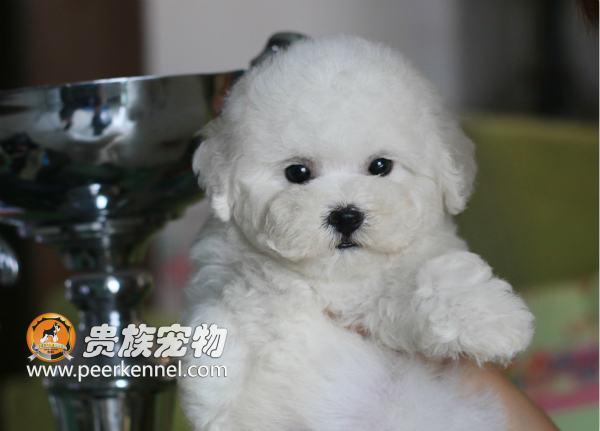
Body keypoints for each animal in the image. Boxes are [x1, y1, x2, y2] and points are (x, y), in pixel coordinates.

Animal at [179, 36, 534, 431]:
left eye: (380, 166)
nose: (346, 216)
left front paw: (491, 319)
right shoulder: (221, 274)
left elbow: (436, 278)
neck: (332, 283)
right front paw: (215, 401)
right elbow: (219, 316)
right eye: (297, 172)